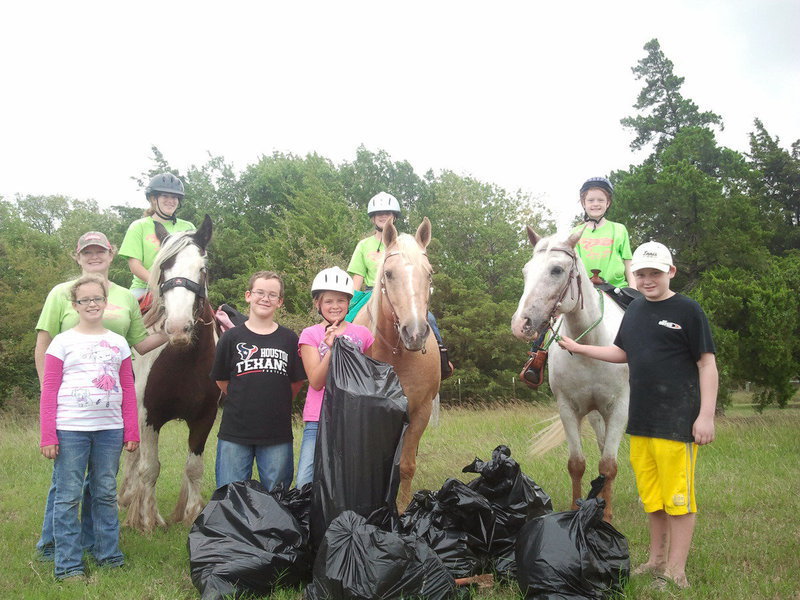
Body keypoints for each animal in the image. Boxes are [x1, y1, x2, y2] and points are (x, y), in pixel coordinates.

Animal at [117, 214, 220, 528]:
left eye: (202, 269)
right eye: (163, 269)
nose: (177, 328)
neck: (183, 361)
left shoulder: (204, 416)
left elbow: (194, 467)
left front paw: (191, 513)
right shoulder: (148, 416)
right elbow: (150, 468)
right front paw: (148, 519)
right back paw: (127, 499)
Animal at [354, 218, 440, 508]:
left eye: (429, 274)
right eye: (389, 274)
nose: (414, 332)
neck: (397, 354)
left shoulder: (421, 411)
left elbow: (406, 465)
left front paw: (401, 509)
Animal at [510, 227, 628, 524]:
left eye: (556, 270)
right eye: (526, 270)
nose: (520, 324)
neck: (591, 346)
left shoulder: (619, 408)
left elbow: (609, 464)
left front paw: (606, 516)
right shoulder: (567, 408)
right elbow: (577, 464)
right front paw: (575, 511)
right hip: (596, 414)